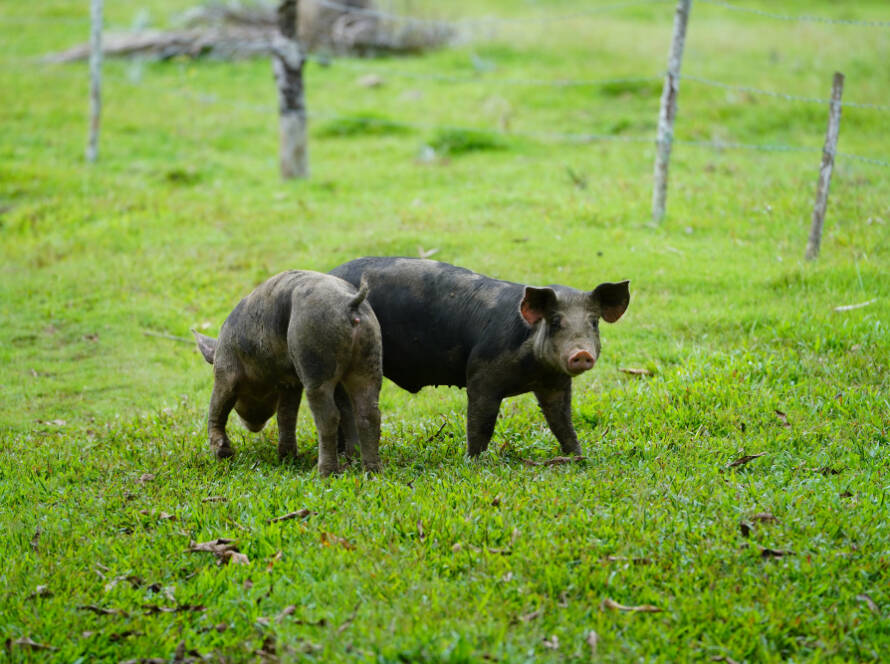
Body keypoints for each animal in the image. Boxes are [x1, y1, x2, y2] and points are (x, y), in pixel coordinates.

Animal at [192, 270, 383, 476]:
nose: (253, 427)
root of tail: (350, 303)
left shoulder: (226, 370)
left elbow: (218, 407)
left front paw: (223, 455)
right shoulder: (290, 381)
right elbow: (286, 415)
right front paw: (286, 459)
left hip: (314, 356)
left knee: (329, 416)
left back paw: (325, 473)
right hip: (369, 357)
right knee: (368, 412)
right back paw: (370, 471)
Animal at [330, 257, 629, 457]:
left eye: (593, 322)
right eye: (555, 321)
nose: (581, 353)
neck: (533, 370)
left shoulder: (556, 383)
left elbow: (562, 420)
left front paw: (577, 455)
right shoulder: (482, 375)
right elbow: (481, 421)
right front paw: (474, 460)